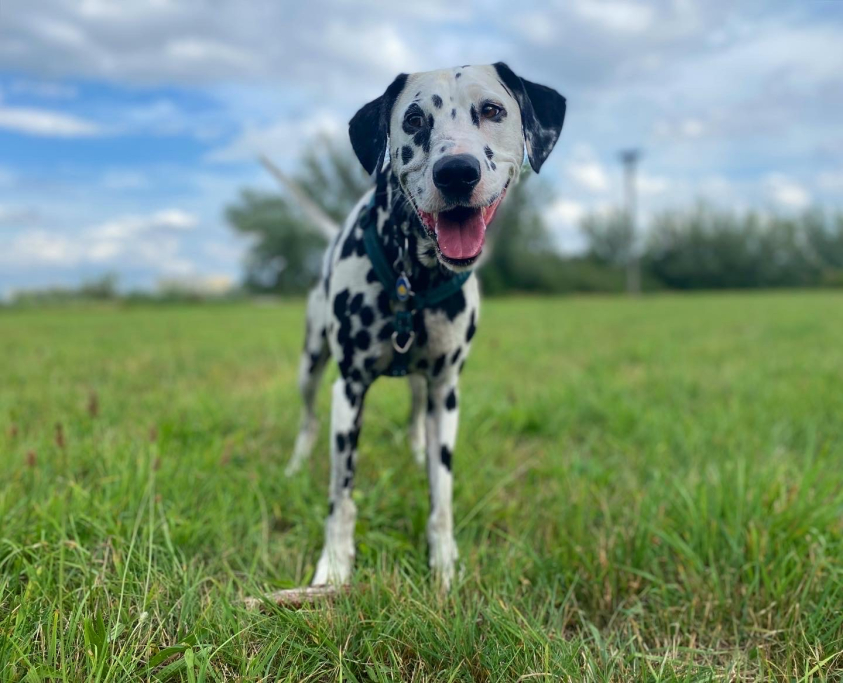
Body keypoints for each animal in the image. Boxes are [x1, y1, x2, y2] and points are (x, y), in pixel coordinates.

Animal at [286, 62, 572, 588]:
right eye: (415, 119)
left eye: (492, 110)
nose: (457, 171)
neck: (414, 280)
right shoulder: (349, 392)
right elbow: (342, 497)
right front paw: (334, 565)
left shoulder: (445, 393)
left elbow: (441, 495)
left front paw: (444, 564)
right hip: (311, 365)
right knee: (309, 420)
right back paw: (295, 465)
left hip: (422, 387)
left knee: (415, 416)